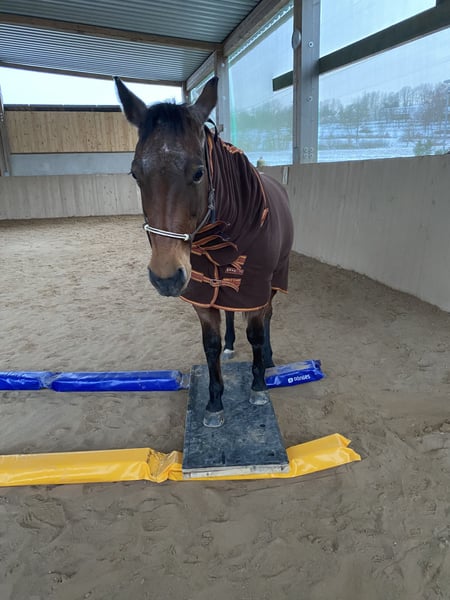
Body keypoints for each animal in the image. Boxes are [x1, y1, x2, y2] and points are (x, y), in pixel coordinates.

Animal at [115, 76, 294, 427]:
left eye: (198, 172)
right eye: (135, 173)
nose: (166, 278)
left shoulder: (254, 288)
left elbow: (256, 332)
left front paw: (257, 387)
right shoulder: (202, 294)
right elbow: (209, 346)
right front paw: (214, 402)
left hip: (275, 279)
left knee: (268, 316)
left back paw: (267, 360)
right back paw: (230, 345)